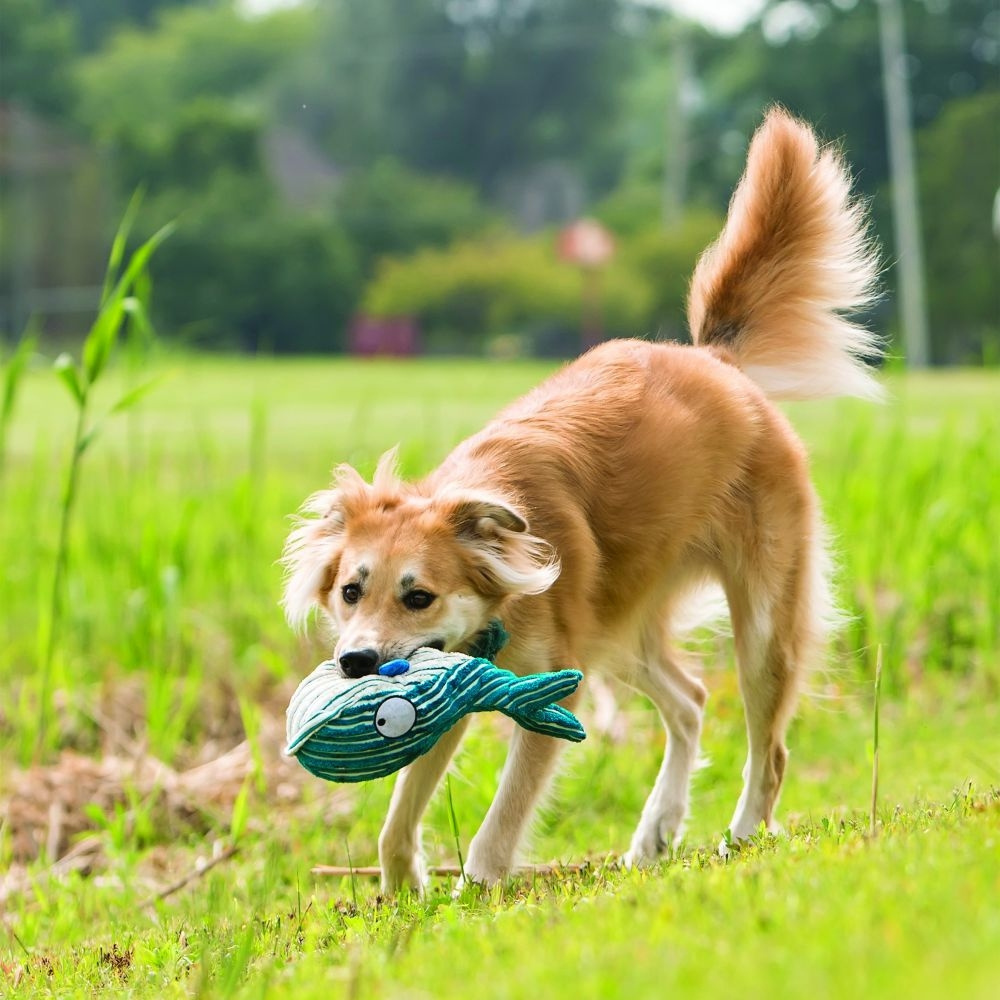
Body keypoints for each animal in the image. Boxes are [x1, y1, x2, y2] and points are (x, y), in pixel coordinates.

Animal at [284, 107, 884, 892]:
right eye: (350, 591)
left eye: (419, 597)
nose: (355, 664)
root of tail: (716, 363)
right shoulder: (449, 687)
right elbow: (397, 816)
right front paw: (401, 889)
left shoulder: (551, 690)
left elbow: (503, 816)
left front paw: (478, 886)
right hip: (617, 629)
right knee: (690, 701)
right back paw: (656, 829)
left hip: (758, 625)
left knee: (769, 749)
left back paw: (743, 833)